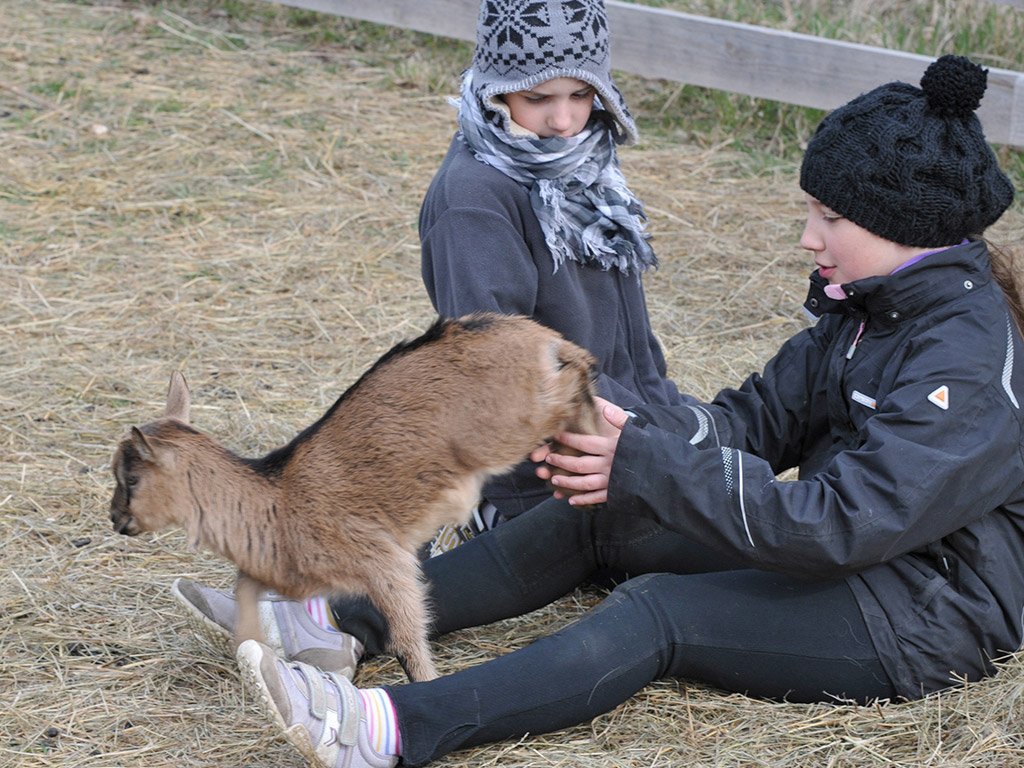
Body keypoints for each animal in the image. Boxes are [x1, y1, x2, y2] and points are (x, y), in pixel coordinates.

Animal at [110, 309, 598, 684]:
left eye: (130, 479)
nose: (116, 519)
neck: (276, 501)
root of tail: (537, 336)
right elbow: (246, 588)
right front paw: (255, 653)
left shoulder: (385, 562)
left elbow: (406, 638)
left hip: (510, 426)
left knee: (575, 380)